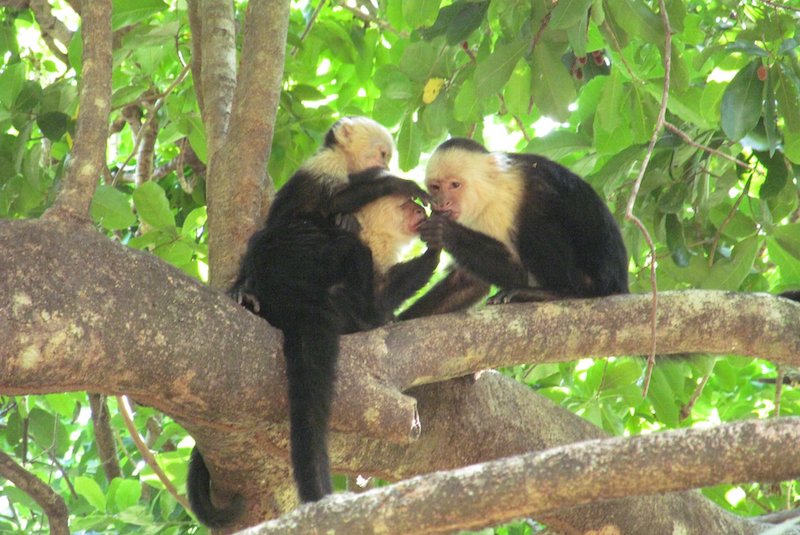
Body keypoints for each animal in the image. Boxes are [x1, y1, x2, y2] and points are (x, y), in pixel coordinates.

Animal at [187, 117, 434, 528]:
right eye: (382, 154)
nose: (387, 165)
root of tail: (294, 291)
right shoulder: (326, 170)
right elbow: (334, 203)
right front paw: (397, 186)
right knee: (327, 243)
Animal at [400, 139, 632, 322]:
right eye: (435, 187)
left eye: (455, 185)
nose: (442, 202)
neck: (489, 193)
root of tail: (618, 283)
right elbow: (469, 281)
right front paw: (397, 320)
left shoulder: (504, 203)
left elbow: (518, 273)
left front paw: (445, 232)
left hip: (591, 279)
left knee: (535, 215)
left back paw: (557, 293)